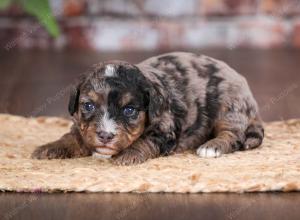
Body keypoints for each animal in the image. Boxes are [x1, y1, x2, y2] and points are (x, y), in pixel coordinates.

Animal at [31, 51, 264, 165]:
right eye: (88, 105)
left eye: (129, 111)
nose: (105, 136)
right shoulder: (83, 126)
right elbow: (73, 137)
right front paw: (49, 147)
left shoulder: (164, 129)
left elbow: (144, 141)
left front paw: (128, 156)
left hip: (229, 107)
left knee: (233, 135)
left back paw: (212, 147)